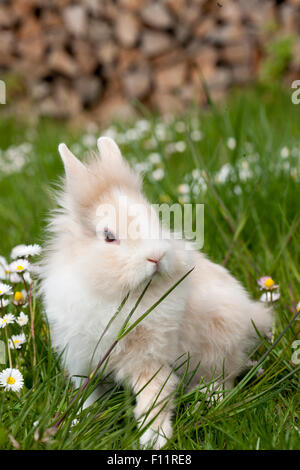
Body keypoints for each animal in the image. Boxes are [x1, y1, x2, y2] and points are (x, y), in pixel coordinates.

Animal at [41, 136, 274, 448]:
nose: (156, 256)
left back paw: (209, 399)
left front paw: (155, 439)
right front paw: (80, 424)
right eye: (109, 236)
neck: (118, 296)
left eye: (154, 218)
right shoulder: (84, 359)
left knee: (224, 378)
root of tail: (253, 314)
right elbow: (88, 396)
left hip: (219, 344)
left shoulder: (150, 359)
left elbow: (155, 398)